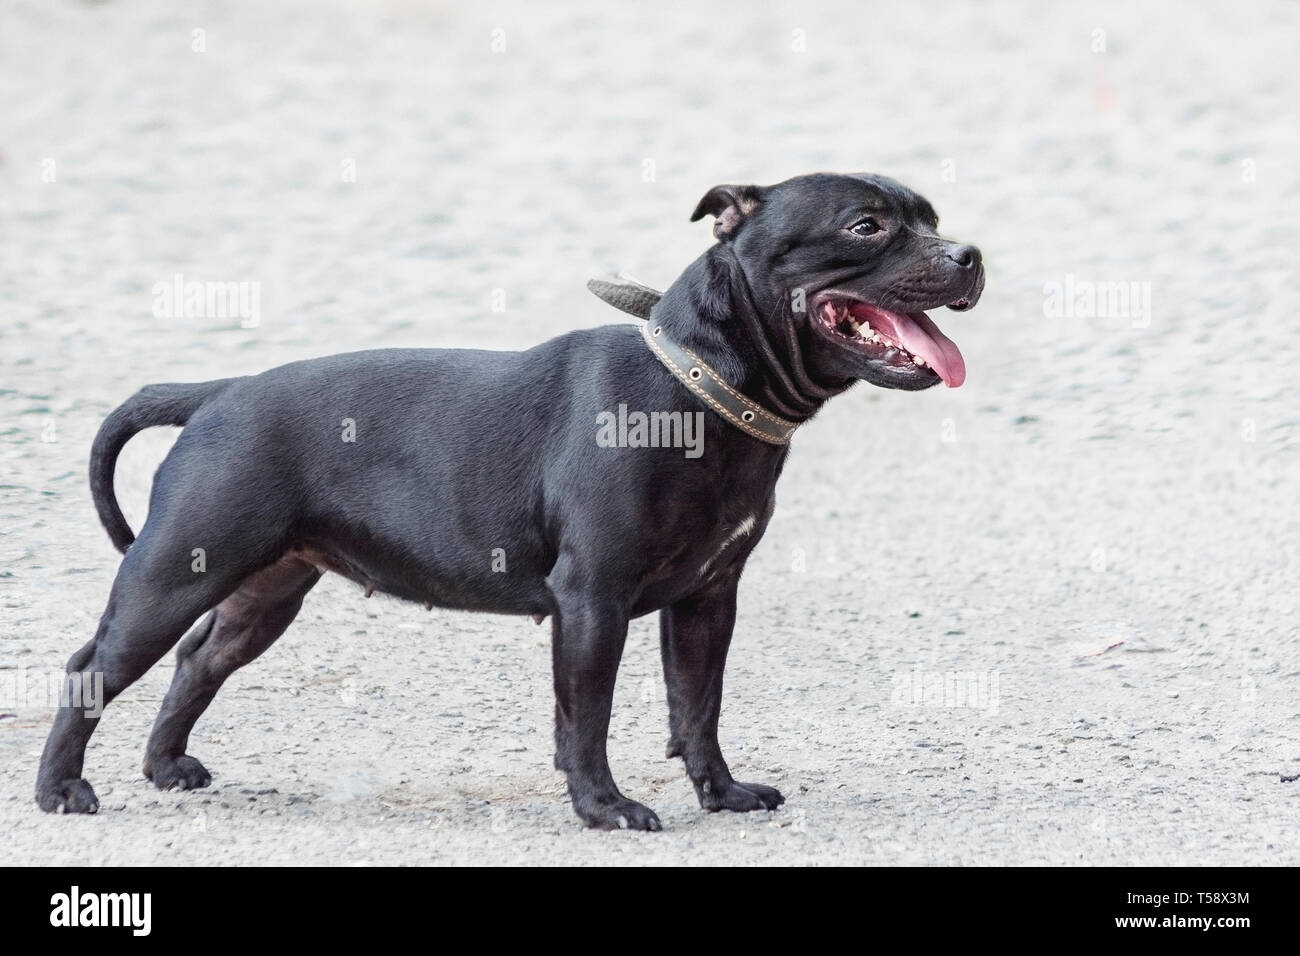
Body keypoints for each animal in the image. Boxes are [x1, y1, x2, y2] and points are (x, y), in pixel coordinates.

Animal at [35, 171, 977, 832]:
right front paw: (605, 810)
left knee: (198, 661)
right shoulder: (592, 601)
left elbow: (698, 707)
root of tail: (218, 394)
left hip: (260, 593)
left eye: (932, 218)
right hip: (172, 575)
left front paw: (722, 794)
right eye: (867, 227)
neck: (699, 386)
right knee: (93, 666)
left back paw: (166, 769)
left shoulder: (709, 600)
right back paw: (62, 790)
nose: (969, 254)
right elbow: (587, 717)